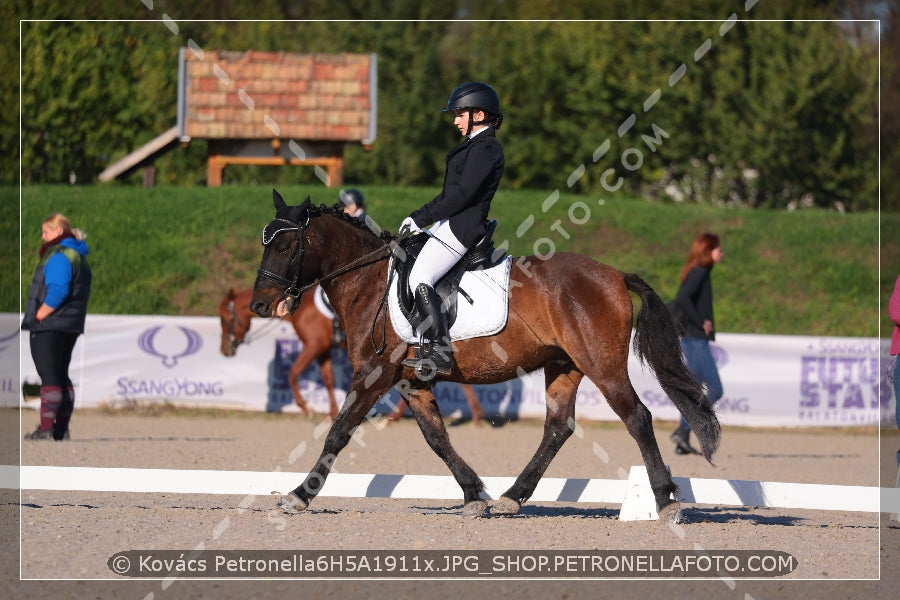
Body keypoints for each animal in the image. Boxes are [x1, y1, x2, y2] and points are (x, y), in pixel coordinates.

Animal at [219, 286, 342, 418]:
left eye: (224, 320)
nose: (223, 350)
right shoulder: (323, 349)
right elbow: (329, 380)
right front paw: (333, 414)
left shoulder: (314, 346)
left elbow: (292, 373)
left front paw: (306, 408)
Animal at [250, 192, 720, 520]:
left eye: (285, 246)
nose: (259, 305)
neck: (368, 283)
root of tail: (615, 275)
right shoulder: (411, 382)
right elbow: (437, 439)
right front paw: (475, 494)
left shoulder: (372, 375)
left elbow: (339, 432)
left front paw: (298, 496)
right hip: (563, 366)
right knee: (557, 428)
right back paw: (512, 497)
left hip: (601, 366)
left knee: (637, 418)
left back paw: (665, 501)